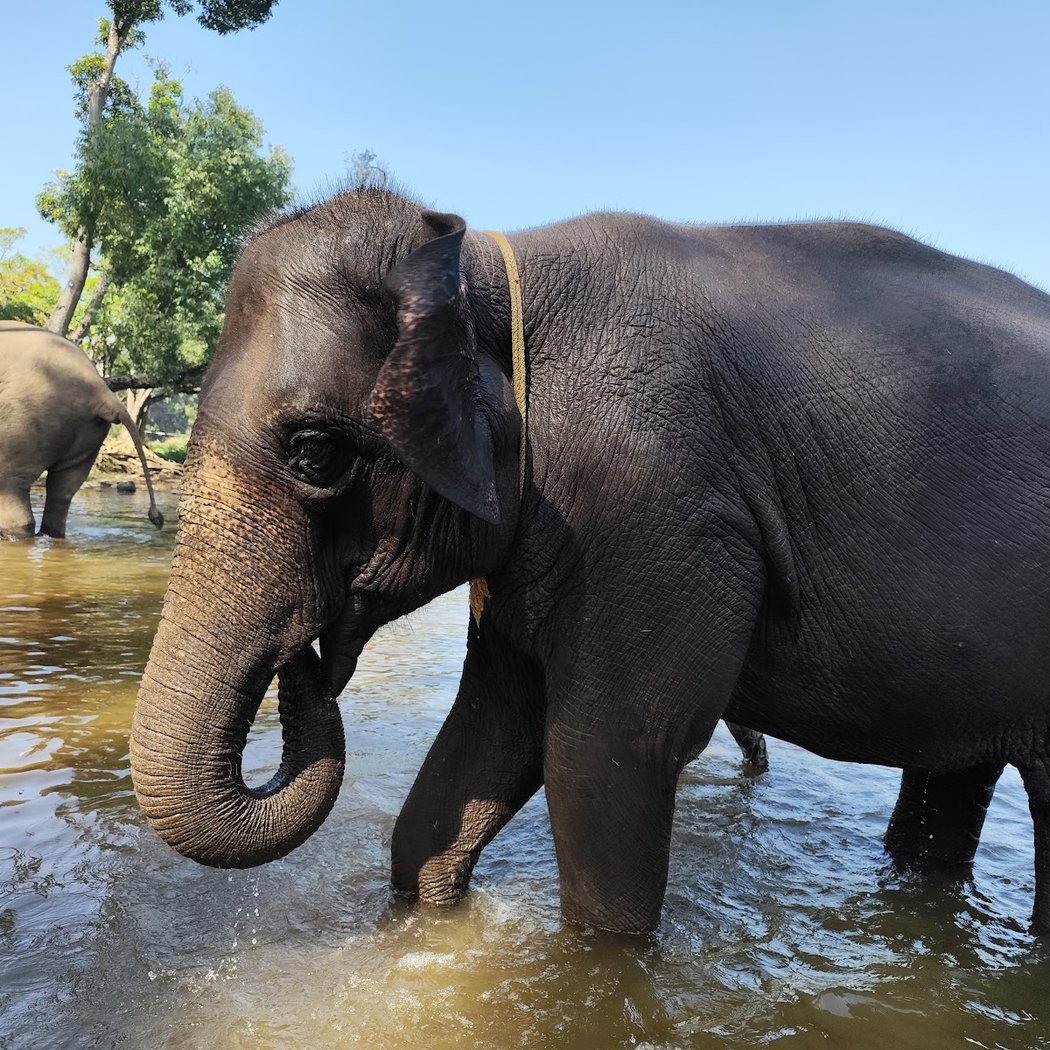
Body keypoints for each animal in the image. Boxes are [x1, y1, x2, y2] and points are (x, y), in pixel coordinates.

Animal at [131, 188, 1050, 936]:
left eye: (316, 452)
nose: (308, 662)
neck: (489, 266)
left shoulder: (652, 505)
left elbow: (604, 757)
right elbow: (488, 737)